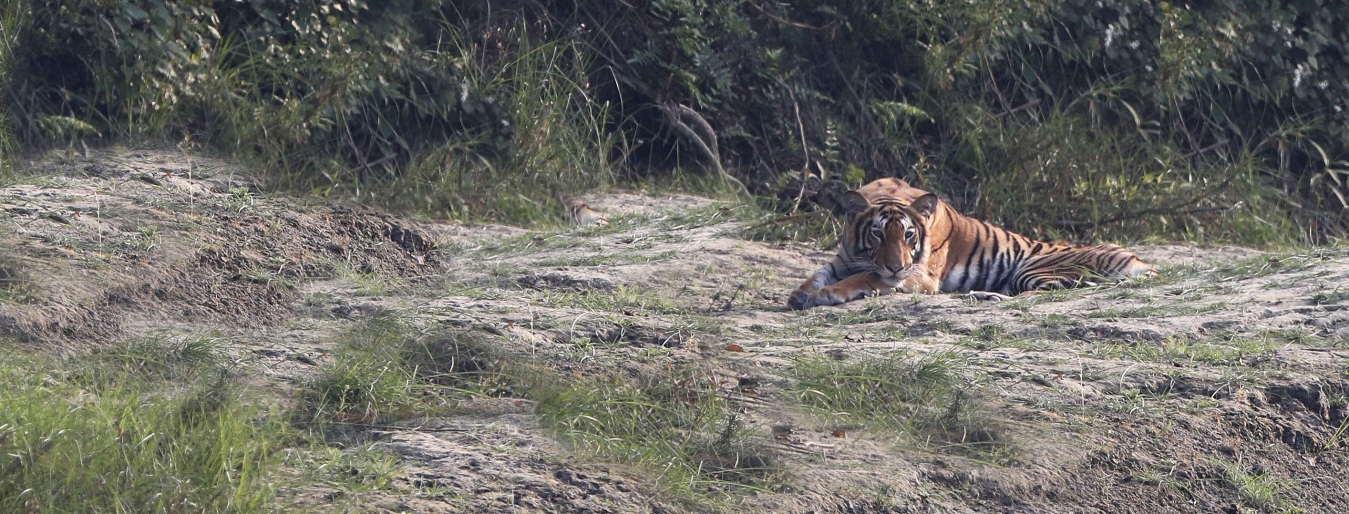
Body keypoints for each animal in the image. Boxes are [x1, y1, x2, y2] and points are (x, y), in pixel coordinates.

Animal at [787, 178, 1160, 308]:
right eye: (877, 234)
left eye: (908, 235)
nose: (895, 265)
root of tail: (1142, 260)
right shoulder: (841, 260)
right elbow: (816, 275)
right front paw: (802, 294)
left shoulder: (918, 274)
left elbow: (867, 277)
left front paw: (827, 295)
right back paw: (982, 295)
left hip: (1032, 269)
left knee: (1046, 293)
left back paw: (986, 297)